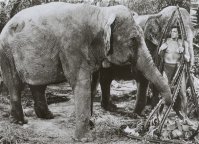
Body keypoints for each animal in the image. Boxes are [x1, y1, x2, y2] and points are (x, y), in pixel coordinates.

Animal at [0, 2, 172, 140]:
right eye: (133, 40)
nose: (165, 104)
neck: (101, 13)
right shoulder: (72, 47)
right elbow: (81, 83)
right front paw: (83, 138)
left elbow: (92, 83)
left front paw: (91, 125)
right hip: (6, 53)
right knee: (15, 84)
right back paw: (21, 121)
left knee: (38, 85)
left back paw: (47, 116)